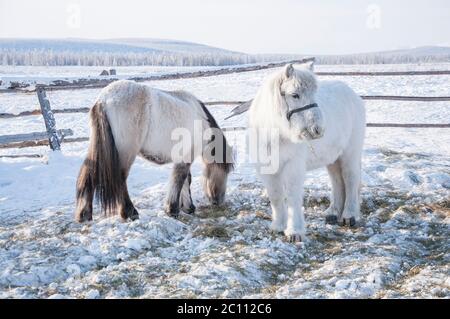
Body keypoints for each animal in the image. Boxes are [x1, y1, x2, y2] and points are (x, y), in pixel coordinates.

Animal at [75, 80, 234, 222]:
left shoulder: (181, 157)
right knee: (120, 178)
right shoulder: (186, 157)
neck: (200, 118)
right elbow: (180, 179)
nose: (218, 201)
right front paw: (173, 209)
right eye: (225, 171)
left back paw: (84, 214)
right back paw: (130, 212)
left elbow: (184, 180)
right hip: (125, 152)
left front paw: (187, 207)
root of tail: (103, 100)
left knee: (88, 174)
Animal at [229, 63, 366, 242]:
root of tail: (353, 95)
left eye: (314, 93)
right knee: (337, 181)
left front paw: (295, 232)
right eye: (295, 95)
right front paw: (278, 226)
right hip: (333, 158)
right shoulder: (266, 169)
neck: (275, 134)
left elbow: (292, 196)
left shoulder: (292, 167)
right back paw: (333, 212)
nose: (318, 130)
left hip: (350, 153)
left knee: (350, 180)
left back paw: (349, 215)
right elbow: (275, 196)